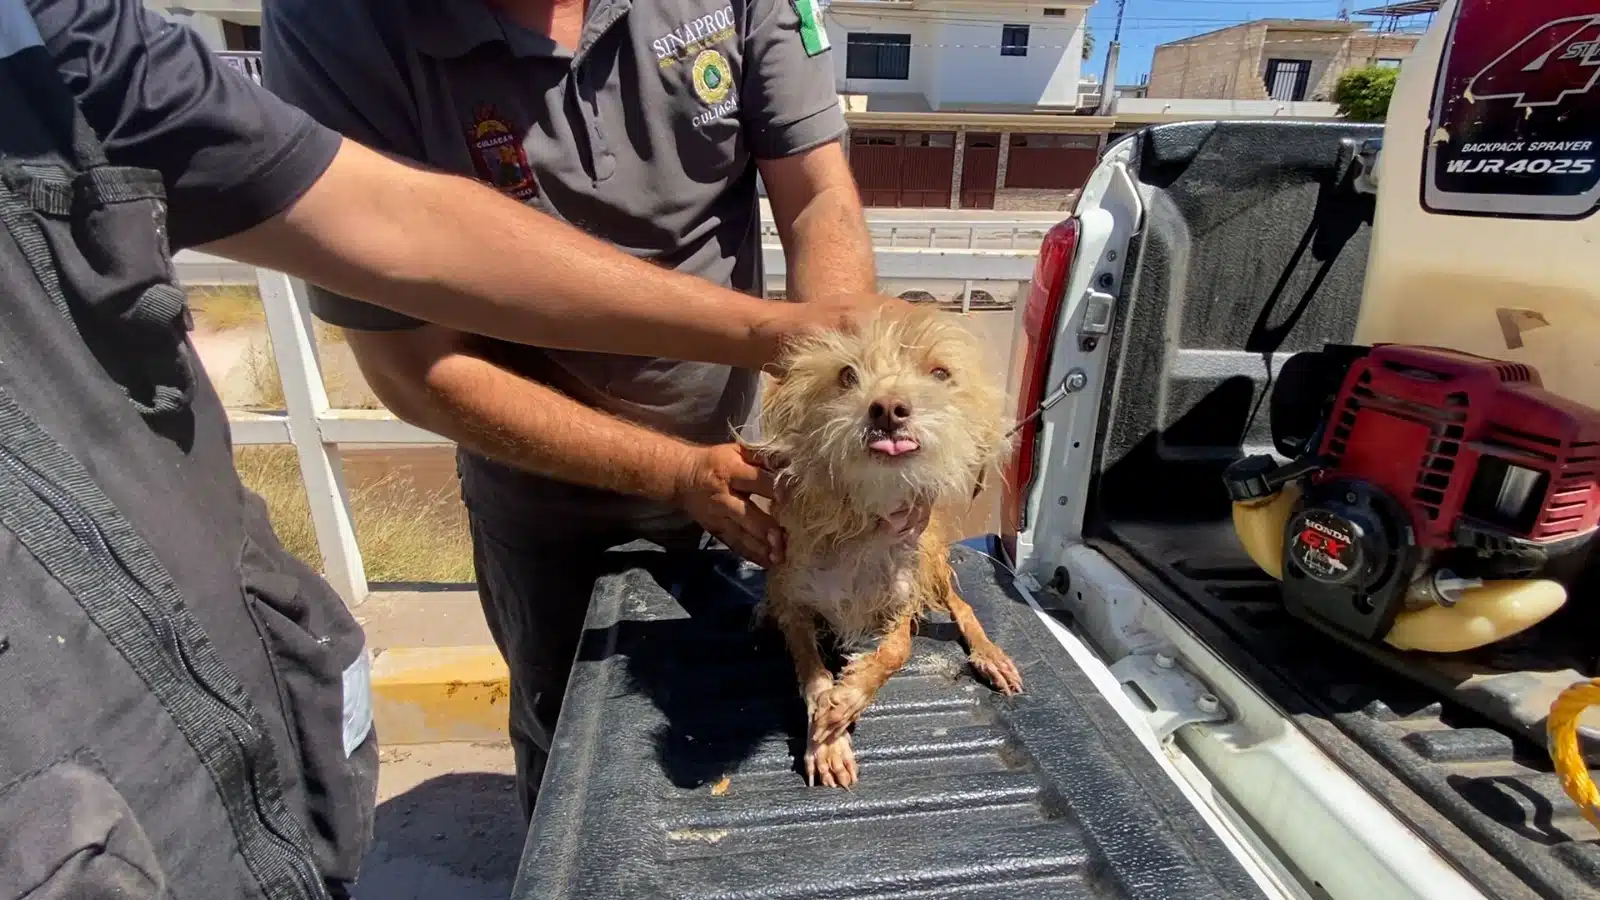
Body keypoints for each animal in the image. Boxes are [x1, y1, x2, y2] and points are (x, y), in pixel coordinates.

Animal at [748, 307, 1024, 784]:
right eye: (846, 375)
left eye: (940, 373)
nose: (889, 408)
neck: (864, 521)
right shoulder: (797, 605)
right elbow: (812, 673)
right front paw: (827, 736)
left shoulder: (900, 600)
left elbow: (897, 649)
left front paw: (848, 698)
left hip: (933, 563)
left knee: (963, 606)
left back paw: (990, 654)